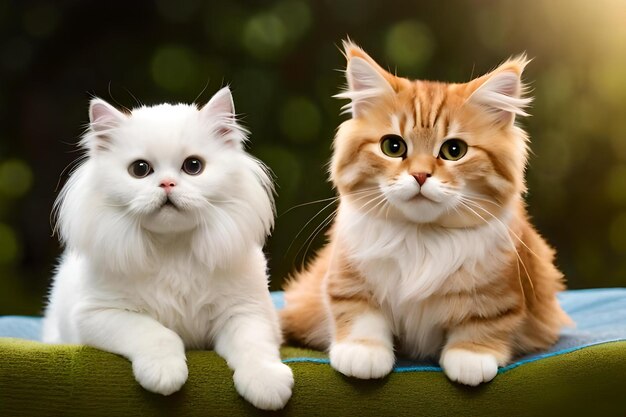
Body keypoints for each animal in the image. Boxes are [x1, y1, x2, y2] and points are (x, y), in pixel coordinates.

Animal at [44, 88, 292, 410]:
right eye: (140, 169)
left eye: (193, 166)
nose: (167, 183)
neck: (173, 246)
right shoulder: (98, 314)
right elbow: (157, 334)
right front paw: (165, 376)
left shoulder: (247, 312)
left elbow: (253, 347)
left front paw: (268, 386)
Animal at [280, 40, 572, 386]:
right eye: (392, 147)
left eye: (454, 151)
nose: (420, 175)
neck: (421, 237)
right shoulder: (348, 280)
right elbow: (360, 314)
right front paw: (362, 352)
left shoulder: (501, 295)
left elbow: (482, 324)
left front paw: (470, 358)